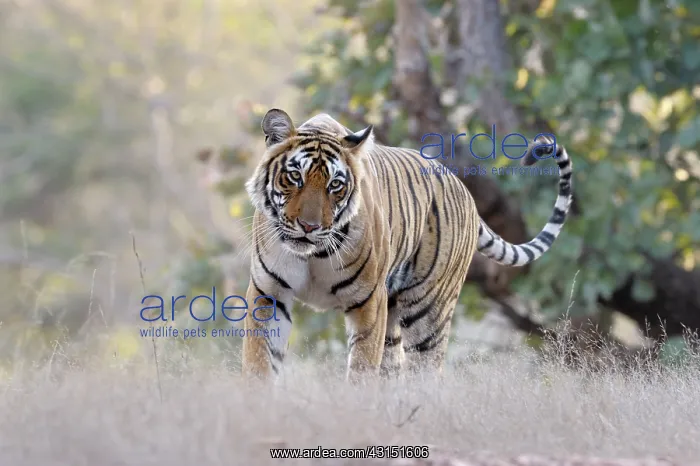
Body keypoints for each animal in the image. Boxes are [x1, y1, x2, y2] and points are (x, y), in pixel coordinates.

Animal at [242, 108, 573, 382]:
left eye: (335, 185)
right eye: (294, 176)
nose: (309, 227)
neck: (312, 254)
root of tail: (465, 191)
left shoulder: (368, 301)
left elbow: (362, 368)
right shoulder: (269, 294)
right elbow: (259, 361)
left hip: (429, 311)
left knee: (426, 374)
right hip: (393, 317)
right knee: (394, 368)